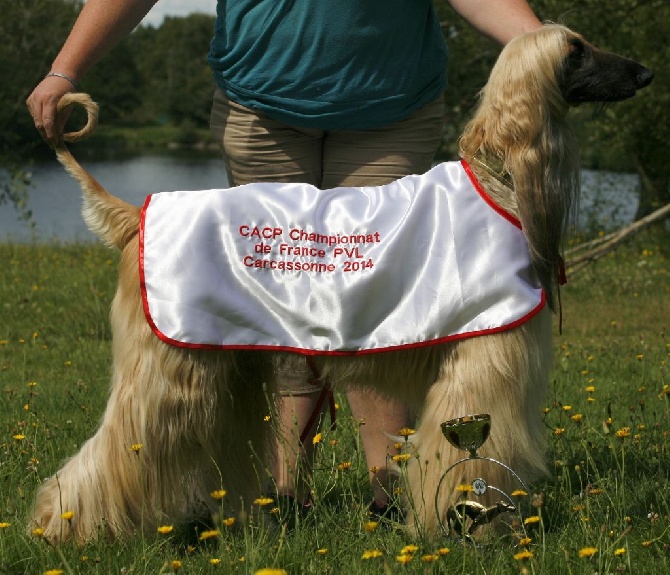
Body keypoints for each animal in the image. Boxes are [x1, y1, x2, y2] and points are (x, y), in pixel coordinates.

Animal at [30, 23, 652, 544]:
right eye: (576, 50)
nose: (645, 72)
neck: (498, 180)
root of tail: (134, 215)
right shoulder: (481, 361)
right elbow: (470, 458)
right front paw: (465, 531)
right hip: (169, 366)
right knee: (114, 449)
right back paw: (62, 525)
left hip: (225, 365)